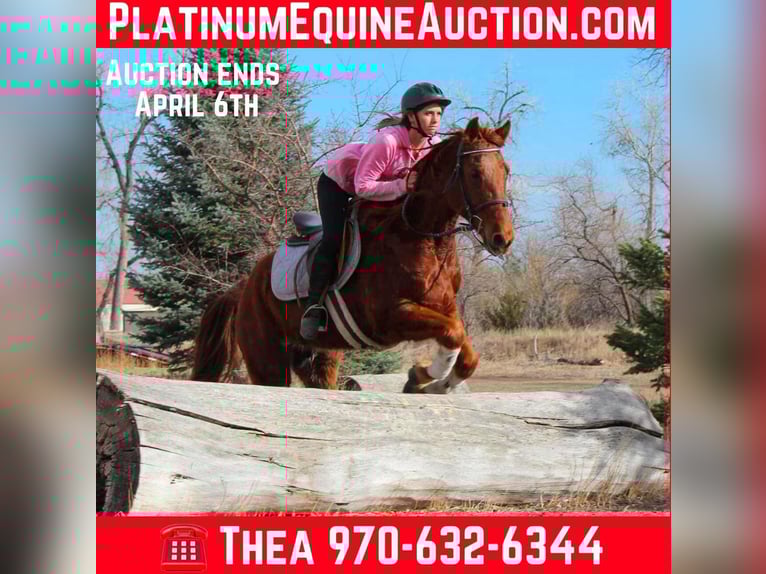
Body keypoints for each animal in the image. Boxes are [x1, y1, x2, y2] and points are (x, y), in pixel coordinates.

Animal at [191, 117, 514, 393]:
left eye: (506, 171)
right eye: (474, 173)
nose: (503, 238)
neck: (425, 240)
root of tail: (244, 286)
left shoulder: (445, 310)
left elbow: (465, 351)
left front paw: (426, 380)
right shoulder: (390, 318)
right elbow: (453, 334)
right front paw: (421, 377)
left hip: (318, 357)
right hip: (267, 357)